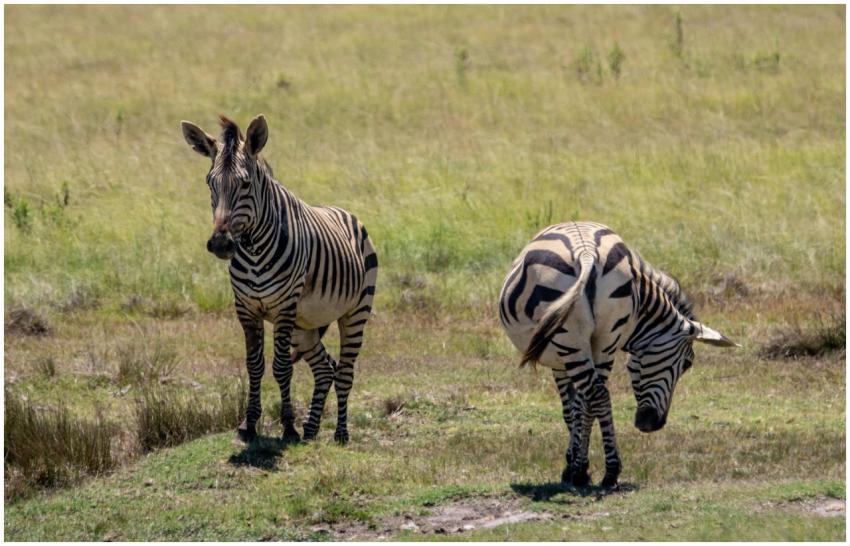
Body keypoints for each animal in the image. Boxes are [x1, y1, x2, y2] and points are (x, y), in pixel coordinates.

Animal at [181, 114, 377, 444]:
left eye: (245, 183)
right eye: (209, 183)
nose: (220, 244)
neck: (254, 249)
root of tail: (344, 211)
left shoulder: (284, 308)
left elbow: (282, 368)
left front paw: (288, 427)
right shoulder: (246, 309)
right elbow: (254, 365)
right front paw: (249, 424)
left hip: (355, 311)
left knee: (345, 372)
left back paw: (340, 433)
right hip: (305, 325)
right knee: (325, 368)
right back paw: (311, 429)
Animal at [499, 221, 736, 487]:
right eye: (687, 364)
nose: (652, 424)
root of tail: (586, 252)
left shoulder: (560, 361)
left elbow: (570, 409)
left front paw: (573, 465)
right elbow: (579, 406)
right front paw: (578, 462)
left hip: (569, 337)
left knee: (595, 394)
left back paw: (591, 471)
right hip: (606, 337)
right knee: (598, 396)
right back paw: (608, 471)